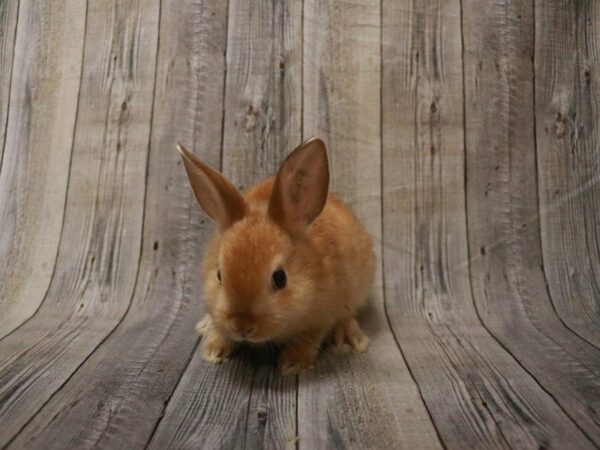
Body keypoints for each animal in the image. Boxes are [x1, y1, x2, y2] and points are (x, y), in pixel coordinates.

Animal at [177, 138, 376, 376]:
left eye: (280, 278)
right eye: (219, 275)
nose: (242, 326)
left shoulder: (322, 315)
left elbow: (310, 337)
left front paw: (293, 363)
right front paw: (214, 349)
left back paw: (351, 339)